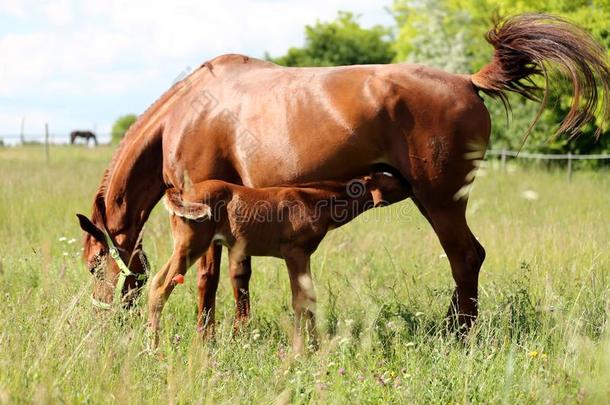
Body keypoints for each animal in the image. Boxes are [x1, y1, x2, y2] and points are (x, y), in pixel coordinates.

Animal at [145, 172, 406, 348]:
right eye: (390, 178)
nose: (408, 181)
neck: (315, 201)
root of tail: (179, 192)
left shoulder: (303, 254)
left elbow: (309, 299)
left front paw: (313, 345)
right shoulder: (295, 252)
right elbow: (301, 301)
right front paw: (305, 349)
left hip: (183, 246)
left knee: (156, 281)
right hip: (192, 244)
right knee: (161, 288)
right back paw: (153, 347)